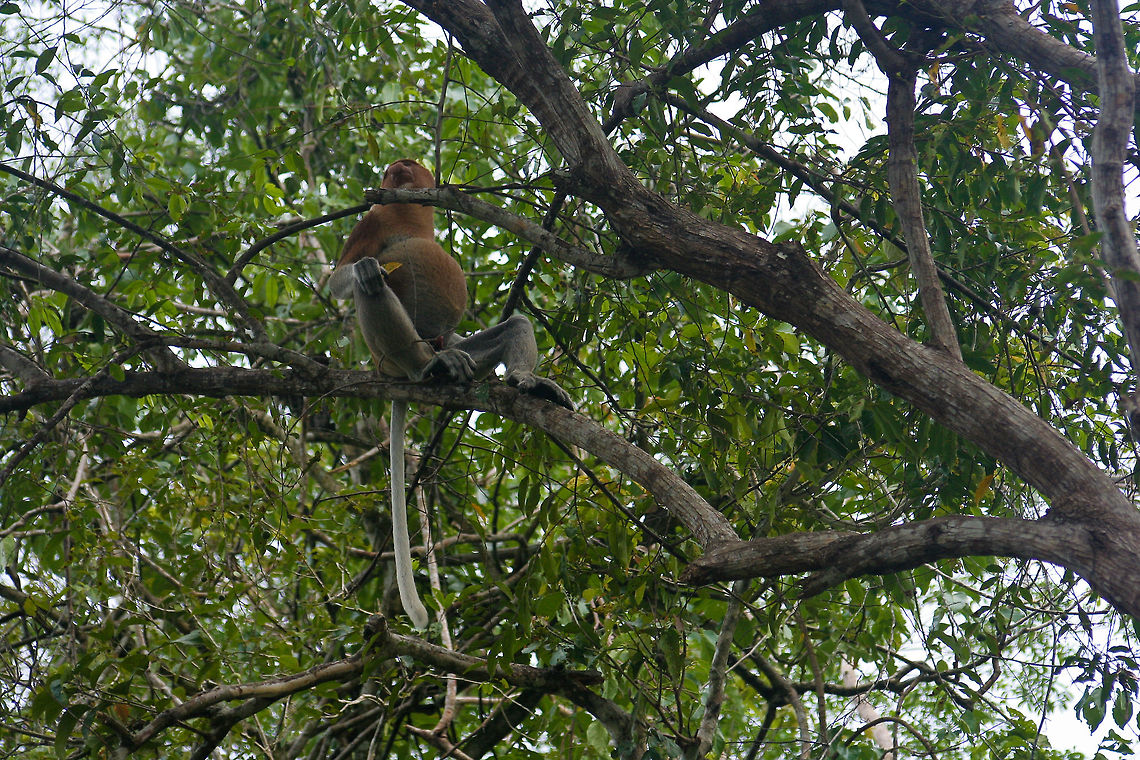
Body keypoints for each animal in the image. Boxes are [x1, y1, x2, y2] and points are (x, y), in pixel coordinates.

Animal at [329, 159, 572, 629]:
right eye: (395, 168)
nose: (398, 170)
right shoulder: (372, 221)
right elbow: (340, 277)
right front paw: (363, 269)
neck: (409, 216)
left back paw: (518, 379)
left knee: (515, 326)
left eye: (407, 167)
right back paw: (426, 366)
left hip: (454, 345)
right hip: (388, 359)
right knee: (372, 287)